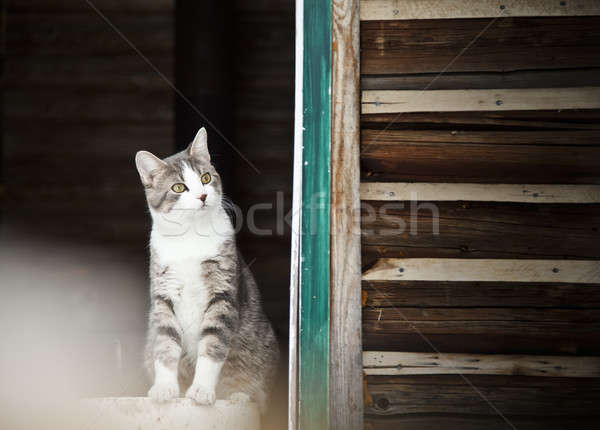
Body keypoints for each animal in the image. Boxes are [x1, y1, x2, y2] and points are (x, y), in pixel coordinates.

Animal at [135, 127, 280, 414]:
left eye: (205, 177)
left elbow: (212, 344)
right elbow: (165, 344)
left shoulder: (222, 293)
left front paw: (201, 390)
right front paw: (165, 388)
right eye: (178, 187)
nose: (202, 196)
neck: (191, 235)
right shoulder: (163, 293)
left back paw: (239, 396)